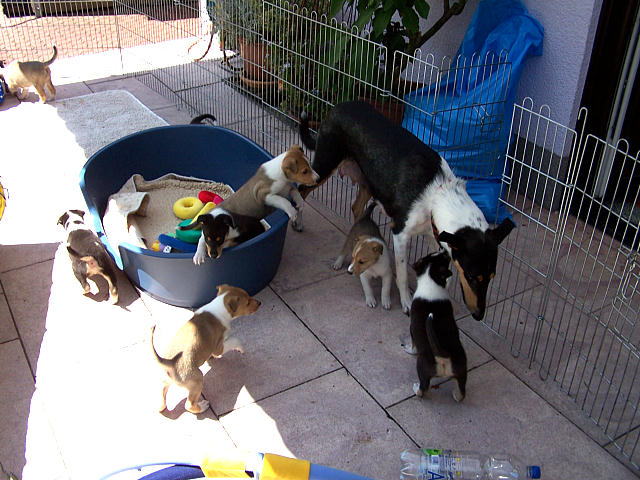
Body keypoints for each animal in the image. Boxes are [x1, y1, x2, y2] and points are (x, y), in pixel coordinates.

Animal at [150, 284, 261, 414]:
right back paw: (203, 406)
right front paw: (240, 349)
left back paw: (161, 407)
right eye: (247, 302)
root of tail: (168, 362)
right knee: (189, 404)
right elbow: (235, 340)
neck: (219, 306)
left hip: (167, 380)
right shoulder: (218, 347)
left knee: (162, 390)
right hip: (197, 379)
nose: (260, 303)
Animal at [298, 100, 515, 318]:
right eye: (471, 276)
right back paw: (298, 223)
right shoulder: (400, 233)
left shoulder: (433, 234)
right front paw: (407, 303)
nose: (478, 315)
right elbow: (401, 275)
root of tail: (339, 106)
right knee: (301, 190)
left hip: (369, 181)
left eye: (491, 276)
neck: (436, 193)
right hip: (324, 166)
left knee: (356, 206)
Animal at [410, 251, 467, 402]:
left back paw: (416, 389)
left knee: (423, 389)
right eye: (432, 254)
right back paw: (456, 395)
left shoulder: (411, 328)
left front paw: (410, 350)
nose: (445, 251)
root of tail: (443, 356)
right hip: (461, 368)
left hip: (422, 367)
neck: (431, 281)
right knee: (461, 393)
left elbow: (412, 343)